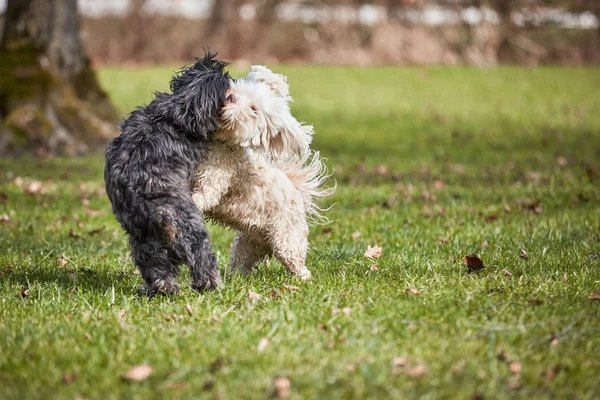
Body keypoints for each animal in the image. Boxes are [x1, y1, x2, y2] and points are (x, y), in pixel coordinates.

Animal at [105, 52, 230, 294]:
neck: (177, 111)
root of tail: (158, 215)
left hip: (144, 245)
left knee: (158, 271)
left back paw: (161, 289)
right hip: (194, 234)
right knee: (203, 261)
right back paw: (211, 286)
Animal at [192, 65, 332, 280]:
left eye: (253, 109)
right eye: (239, 90)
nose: (231, 97)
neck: (220, 143)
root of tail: (298, 192)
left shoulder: (215, 180)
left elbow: (202, 196)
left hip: (287, 242)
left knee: (299, 266)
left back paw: (302, 280)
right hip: (246, 244)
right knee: (240, 265)